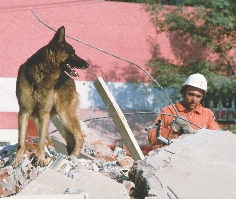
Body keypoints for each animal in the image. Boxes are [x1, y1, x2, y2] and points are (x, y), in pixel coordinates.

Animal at [14, 26, 89, 166]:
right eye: (72, 53)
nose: (87, 64)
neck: (41, 73)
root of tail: (70, 80)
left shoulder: (44, 113)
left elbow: (41, 142)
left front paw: (41, 159)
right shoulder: (24, 112)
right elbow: (21, 141)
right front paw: (18, 159)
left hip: (64, 114)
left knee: (80, 137)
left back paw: (72, 157)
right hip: (41, 118)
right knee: (51, 139)